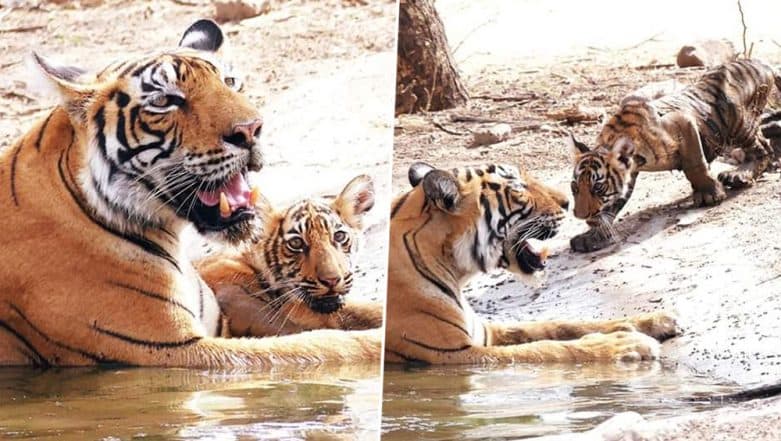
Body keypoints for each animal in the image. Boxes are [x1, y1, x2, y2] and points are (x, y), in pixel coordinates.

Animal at [386, 162, 680, 364]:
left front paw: (655, 320)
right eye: (518, 189)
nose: (567, 202)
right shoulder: (454, 353)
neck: (454, 272)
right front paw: (624, 344)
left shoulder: (484, 332)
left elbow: (554, 326)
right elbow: (542, 350)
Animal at [568, 58, 780, 251]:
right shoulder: (629, 173)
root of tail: (763, 63)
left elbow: (695, 164)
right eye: (574, 187)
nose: (580, 215)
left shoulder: (682, 122)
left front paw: (709, 194)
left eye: (598, 187)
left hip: (738, 121)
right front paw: (593, 236)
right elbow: (614, 203)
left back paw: (739, 175)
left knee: (762, 148)